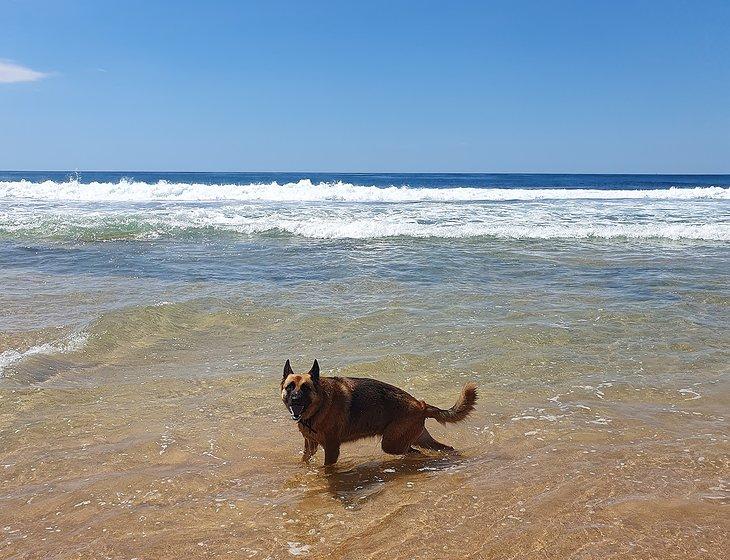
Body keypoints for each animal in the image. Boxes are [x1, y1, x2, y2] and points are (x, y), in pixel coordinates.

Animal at [280, 358, 478, 464]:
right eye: (290, 387)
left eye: (306, 388)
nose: (295, 399)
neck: (320, 406)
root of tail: (421, 405)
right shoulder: (310, 445)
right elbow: (305, 460)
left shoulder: (331, 448)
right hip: (417, 439)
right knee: (444, 448)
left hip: (391, 444)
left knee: (415, 452)